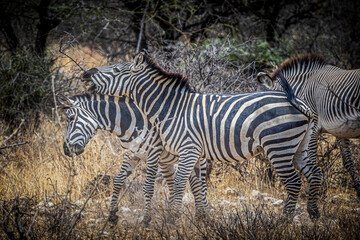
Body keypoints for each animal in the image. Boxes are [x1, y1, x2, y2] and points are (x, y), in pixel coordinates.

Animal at [62, 93, 208, 224]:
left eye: (71, 118)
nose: (66, 149)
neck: (129, 123)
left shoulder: (153, 153)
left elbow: (148, 187)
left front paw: (146, 219)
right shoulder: (131, 154)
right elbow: (118, 180)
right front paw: (112, 215)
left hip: (197, 156)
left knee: (200, 185)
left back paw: (202, 217)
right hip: (169, 161)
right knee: (177, 184)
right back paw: (175, 216)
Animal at [81, 52, 324, 219]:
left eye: (116, 70)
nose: (85, 74)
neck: (171, 109)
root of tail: (297, 101)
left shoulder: (188, 150)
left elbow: (180, 184)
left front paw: (173, 219)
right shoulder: (196, 154)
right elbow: (196, 186)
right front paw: (199, 219)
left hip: (279, 146)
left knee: (293, 182)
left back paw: (284, 221)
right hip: (299, 147)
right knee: (315, 173)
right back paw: (313, 214)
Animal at [258, 54, 360, 199]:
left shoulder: (314, 127)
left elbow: (311, 158)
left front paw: (311, 190)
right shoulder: (341, 130)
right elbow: (348, 161)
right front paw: (358, 189)